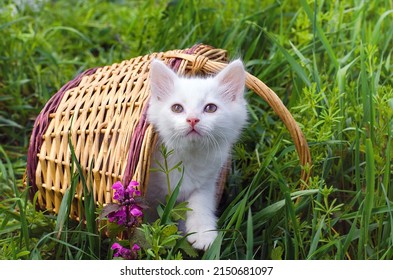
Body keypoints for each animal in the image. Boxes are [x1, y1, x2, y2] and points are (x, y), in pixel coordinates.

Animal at [145, 58, 247, 249]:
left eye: (211, 108)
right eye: (177, 108)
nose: (192, 119)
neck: (188, 156)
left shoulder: (207, 181)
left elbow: (200, 202)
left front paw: (203, 232)